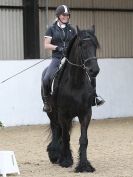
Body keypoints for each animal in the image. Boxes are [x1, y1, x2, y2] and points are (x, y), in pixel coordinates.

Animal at [41, 25, 100, 172]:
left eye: (95, 45)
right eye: (81, 45)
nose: (94, 70)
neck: (75, 83)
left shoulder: (85, 113)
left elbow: (83, 139)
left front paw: (84, 165)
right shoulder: (63, 114)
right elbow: (65, 136)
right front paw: (66, 161)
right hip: (52, 113)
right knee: (56, 129)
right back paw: (55, 154)